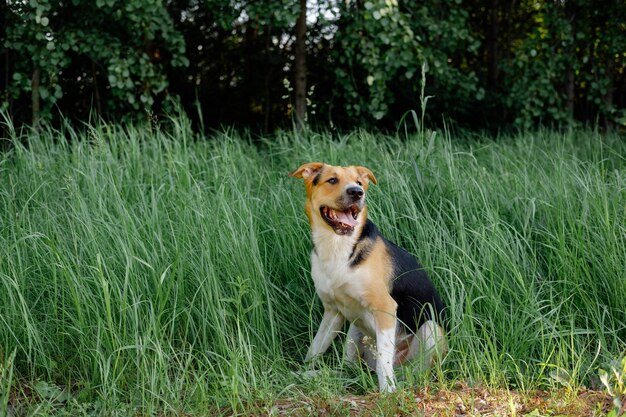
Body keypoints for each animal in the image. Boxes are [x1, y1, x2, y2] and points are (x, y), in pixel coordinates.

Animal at [290, 162, 446, 390]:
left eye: (359, 182)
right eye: (332, 180)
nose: (357, 192)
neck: (337, 246)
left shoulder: (385, 308)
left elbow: (383, 362)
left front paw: (388, 392)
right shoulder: (332, 311)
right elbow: (315, 348)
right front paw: (303, 371)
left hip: (430, 329)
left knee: (412, 373)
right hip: (355, 331)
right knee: (348, 371)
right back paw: (315, 375)